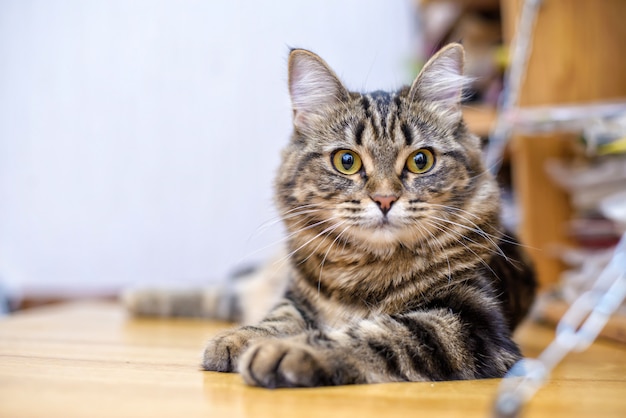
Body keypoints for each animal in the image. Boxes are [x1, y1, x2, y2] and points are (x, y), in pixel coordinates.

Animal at [123, 43, 536, 388]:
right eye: (346, 161)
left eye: (421, 161)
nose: (385, 199)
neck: (365, 270)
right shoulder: (297, 296)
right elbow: (279, 317)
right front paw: (240, 337)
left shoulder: (469, 325)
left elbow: (375, 336)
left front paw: (287, 352)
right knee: (225, 291)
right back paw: (137, 296)